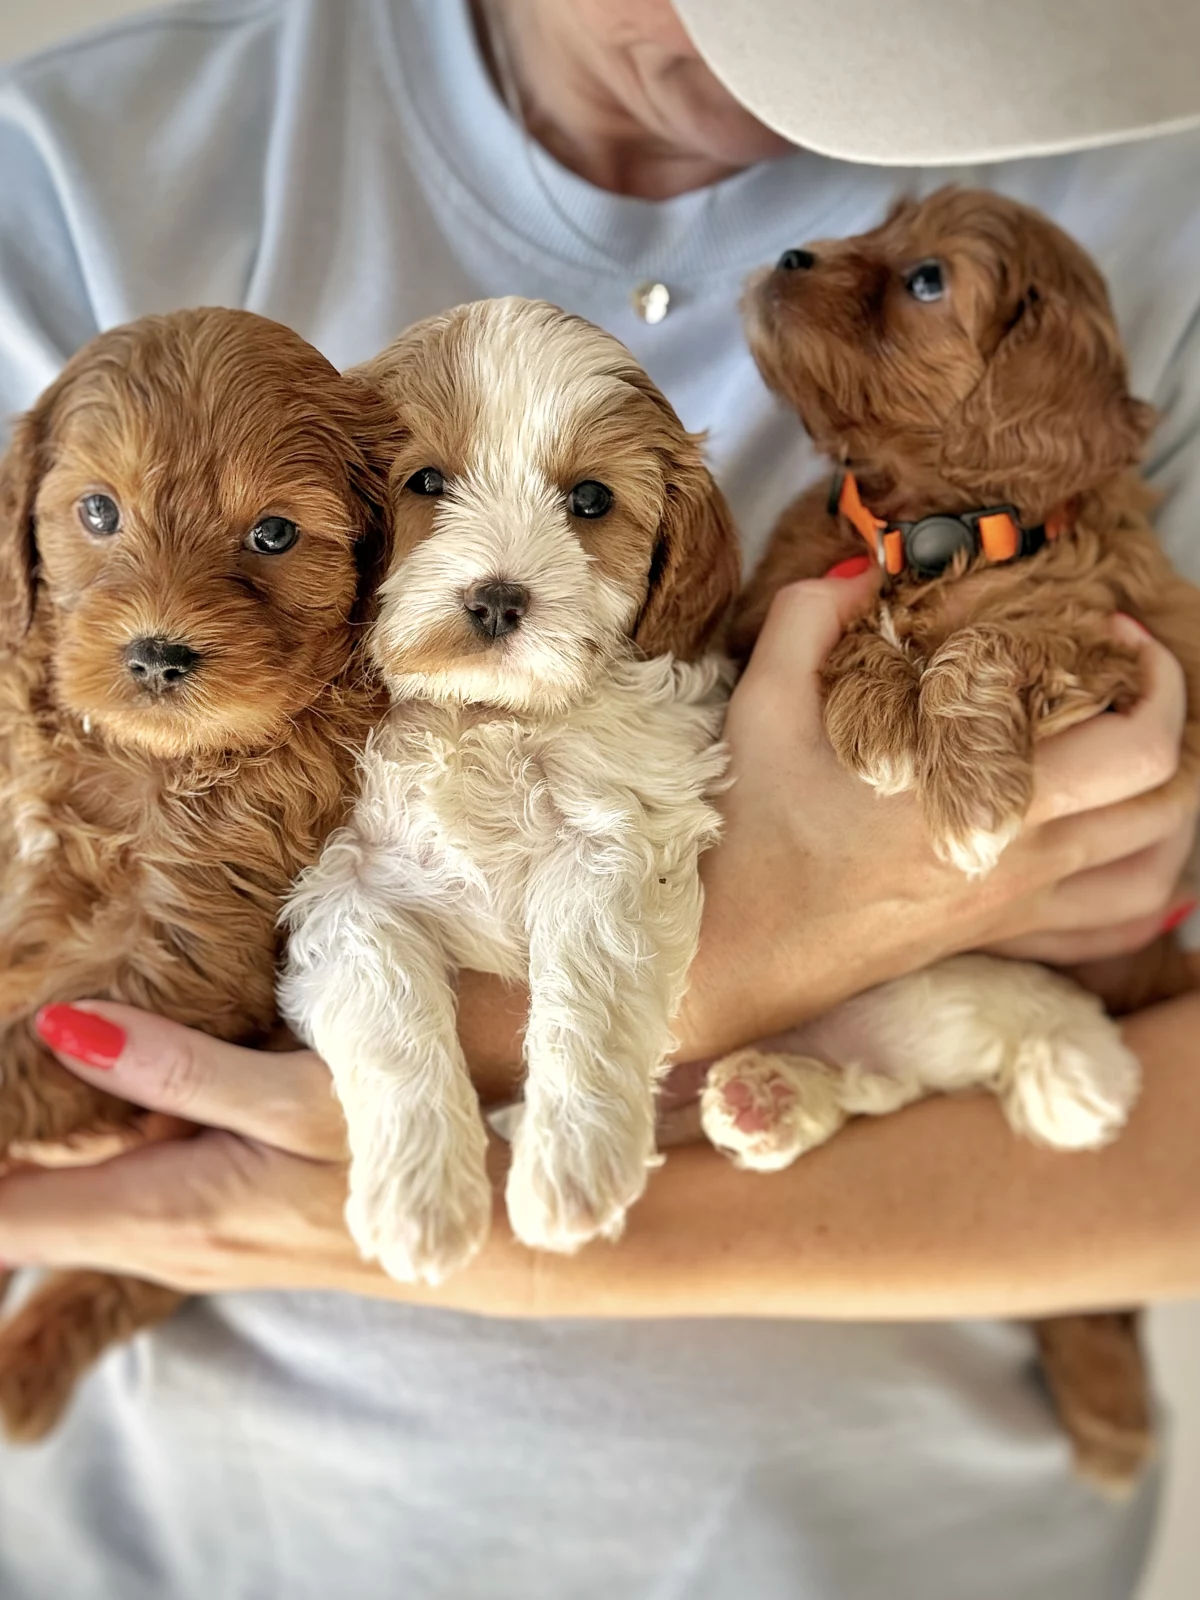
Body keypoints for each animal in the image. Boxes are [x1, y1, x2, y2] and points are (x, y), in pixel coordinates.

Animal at [0, 307, 389, 1440]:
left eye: (274, 534)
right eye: (97, 511)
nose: (159, 656)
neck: (140, 759)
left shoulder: (184, 954)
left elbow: (28, 1050)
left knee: (123, 1276)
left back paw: (23, 1369)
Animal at [281, 297, 740, 1285]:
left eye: (591, 500)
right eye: (425, 481)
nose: (495, 600)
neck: (484, 716)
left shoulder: (620, 835)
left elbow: (591, 987)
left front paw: (574, 1159)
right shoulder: (341, 883)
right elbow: (387, 1009)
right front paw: (418, 1197)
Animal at [704, 188, 1200, 1492]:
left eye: (925, 278)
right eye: (870, 226)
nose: (788, 252)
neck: (936, 523)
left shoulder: (1149, 655)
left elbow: (1004, 636)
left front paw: (963, 782)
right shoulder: (763, 614)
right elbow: (846, 628)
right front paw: (879, 708)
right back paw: (771, 1096)